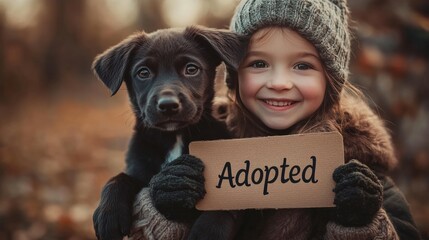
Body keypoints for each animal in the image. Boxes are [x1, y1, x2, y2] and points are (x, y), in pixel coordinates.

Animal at [90, 26, 244, 240]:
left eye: (191, 69)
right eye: (143, 73)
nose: (168, 105)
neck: (175, 136)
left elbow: (222, 209)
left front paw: (206, 232)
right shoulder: (140, 171)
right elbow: (118, 178)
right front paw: (108, 213)